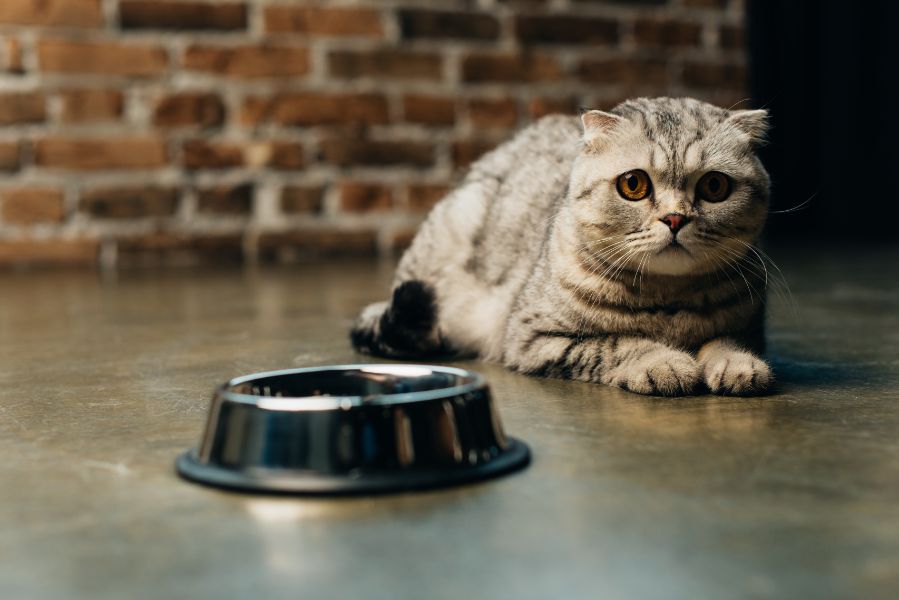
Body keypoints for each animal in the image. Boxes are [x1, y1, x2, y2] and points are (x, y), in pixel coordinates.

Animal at [352, 97, 772, 398]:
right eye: (633, 184)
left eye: (714, 186)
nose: (674, 218)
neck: (667, 302)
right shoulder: (534, 338)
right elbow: (617, 343)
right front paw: (664, 363)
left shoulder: (751, 325)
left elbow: (727, 340)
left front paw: (738, 364)